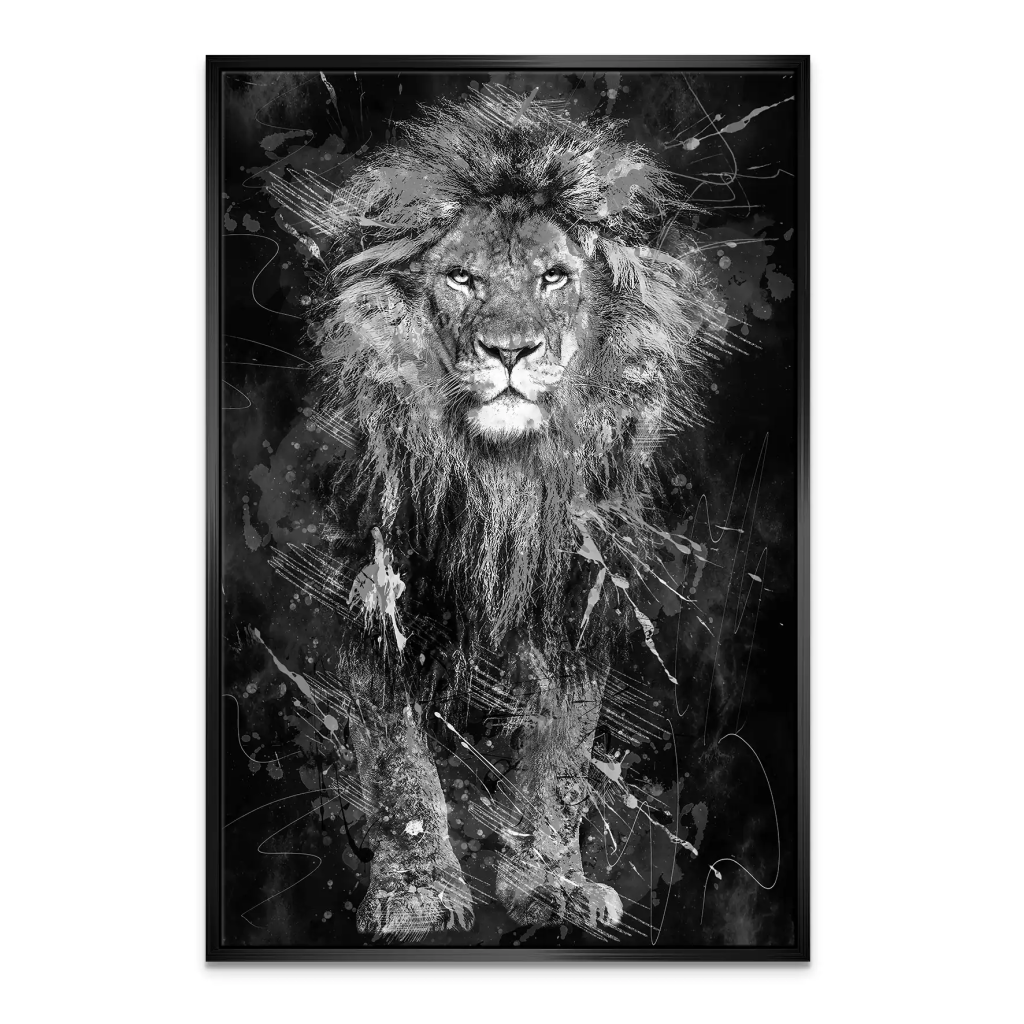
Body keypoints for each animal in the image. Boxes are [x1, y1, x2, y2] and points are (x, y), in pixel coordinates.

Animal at [267, 84, 723, 941]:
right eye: (461, 279)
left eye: (554, 278)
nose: (510, 351)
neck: (500, 480)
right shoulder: (377, 590)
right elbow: (401, 767)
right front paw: (416, 896)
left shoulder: (576, 596)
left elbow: (563, 760)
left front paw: (554, 885)